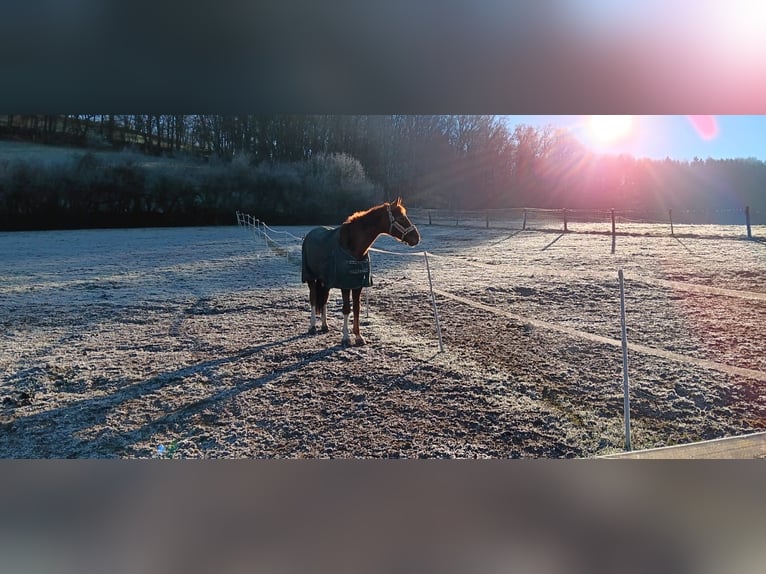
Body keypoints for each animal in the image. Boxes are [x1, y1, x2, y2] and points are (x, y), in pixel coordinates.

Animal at [302, 198, 424, 346]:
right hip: (310, 277)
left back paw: (325, 326)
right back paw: (312, 326)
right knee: (313, 299)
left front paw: (358, 336)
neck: (352, 246)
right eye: (401, 218)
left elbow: (357, 308)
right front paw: (346, 337)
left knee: (324, 299)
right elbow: (346, 308)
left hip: (325, 280)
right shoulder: (345, 285)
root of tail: (310, 233)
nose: (416, 238)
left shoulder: (357, 284)